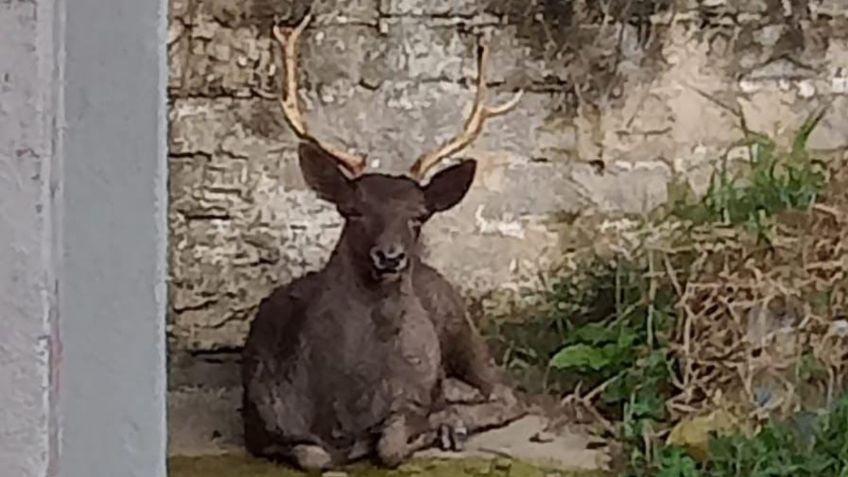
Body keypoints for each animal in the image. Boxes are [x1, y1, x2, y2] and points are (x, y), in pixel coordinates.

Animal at [238, 13, 528, 470]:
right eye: (353, 211)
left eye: (419, 216)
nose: (390, 257)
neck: (344, 410)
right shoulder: (260, 417)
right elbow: (312, 456)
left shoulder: (411, 398)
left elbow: (391, 446)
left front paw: (434, 428)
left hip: (460, 321)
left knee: (505, 394)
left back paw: (454, 421)